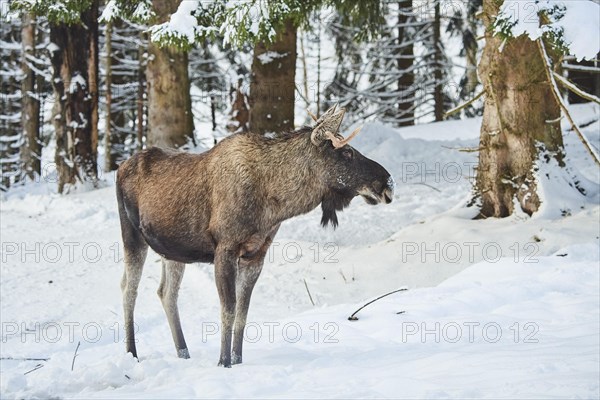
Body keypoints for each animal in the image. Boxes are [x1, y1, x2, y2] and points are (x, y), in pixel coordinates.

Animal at [116, 104, 394, 368]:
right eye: (346, 152)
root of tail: (121, 167)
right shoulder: (225, 247)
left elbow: (243, 312)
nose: (387, 182)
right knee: (129, 288)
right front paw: (223, 362)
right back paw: (131, 352)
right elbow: (228, 309)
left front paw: (237, 361)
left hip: (173, 251)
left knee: (166, 293)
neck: (275, 204)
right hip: (132, 235)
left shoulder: (256, 254)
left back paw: (183, 353)